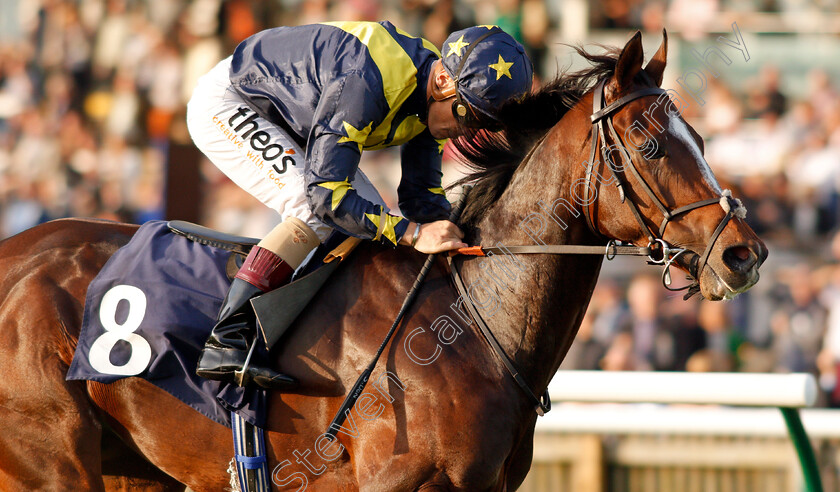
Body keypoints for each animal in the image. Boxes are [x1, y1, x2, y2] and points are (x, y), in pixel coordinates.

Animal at [0, 32, 764, 490]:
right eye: (651, 146)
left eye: (699, 138)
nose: (744, 253)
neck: (473, 320)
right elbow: (327, 189)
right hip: (50, 462)